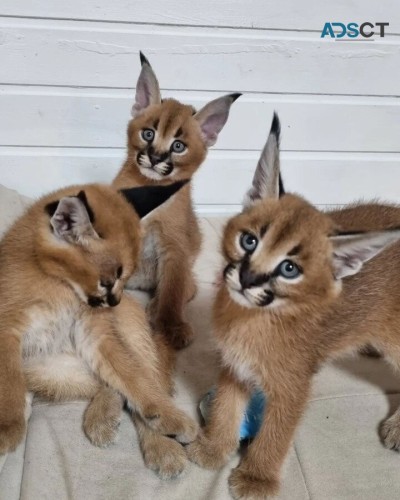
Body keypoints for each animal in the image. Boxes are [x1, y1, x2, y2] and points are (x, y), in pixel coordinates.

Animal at [0, 180, 198, 476]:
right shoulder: (8, 327)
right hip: (46, 369)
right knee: (106, 384)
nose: (115, 302)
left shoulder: (95, 332)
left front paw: (168, 419)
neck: (60, 284)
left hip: (130, 335)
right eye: (107, 281)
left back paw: (162, 446)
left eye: (124, 279)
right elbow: (8, 379)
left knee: (143, 377)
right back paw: (105, 418)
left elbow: (133, 376)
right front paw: (8, 427)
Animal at [111, 50, 241, 348]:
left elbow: (172, 288)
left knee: (183, 288)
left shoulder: (174, 245)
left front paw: (171, 325)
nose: (155, 157)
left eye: (178, 146)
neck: (148, 185)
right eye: (148, 133)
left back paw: (155, 307)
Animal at [188, 114, 400, 500]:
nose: (248, 278)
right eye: (249, 241)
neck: (252, 318)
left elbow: (276, 432)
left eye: (290, 269)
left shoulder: (293, 385)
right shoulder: (235, 363)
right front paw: (213, 449)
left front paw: (256, 478)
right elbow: (226, 406)